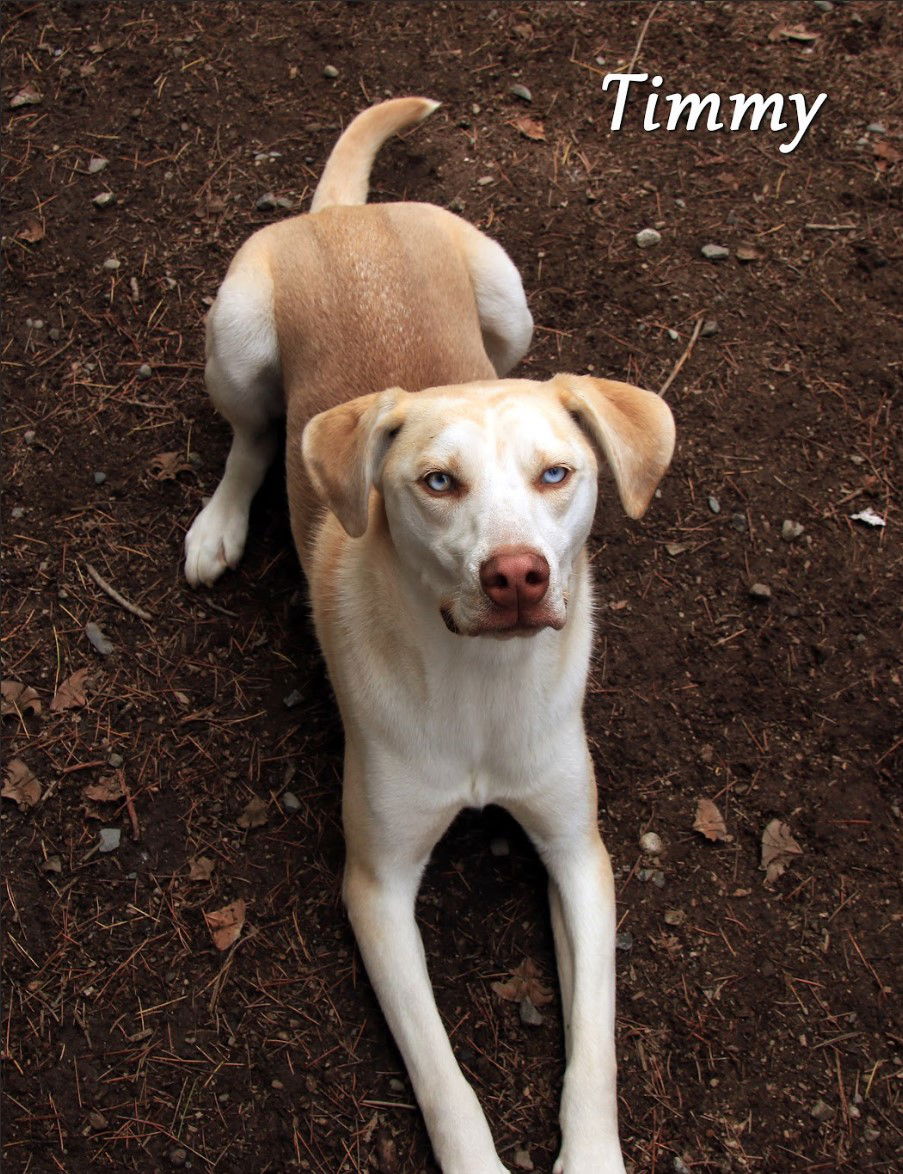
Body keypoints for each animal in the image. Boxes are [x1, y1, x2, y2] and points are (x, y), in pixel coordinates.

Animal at [185, 98, 666, 1174]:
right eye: (437, 482)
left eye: (557, 473)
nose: (517, 575)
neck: (479, 682)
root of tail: (342, 215)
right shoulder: (376, 886)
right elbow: (445, 1078)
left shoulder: (579, 853)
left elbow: (596, 1047)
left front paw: (591, 1153)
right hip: (236, 339)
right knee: (251, 437)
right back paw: (219, 526)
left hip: (507, 296)